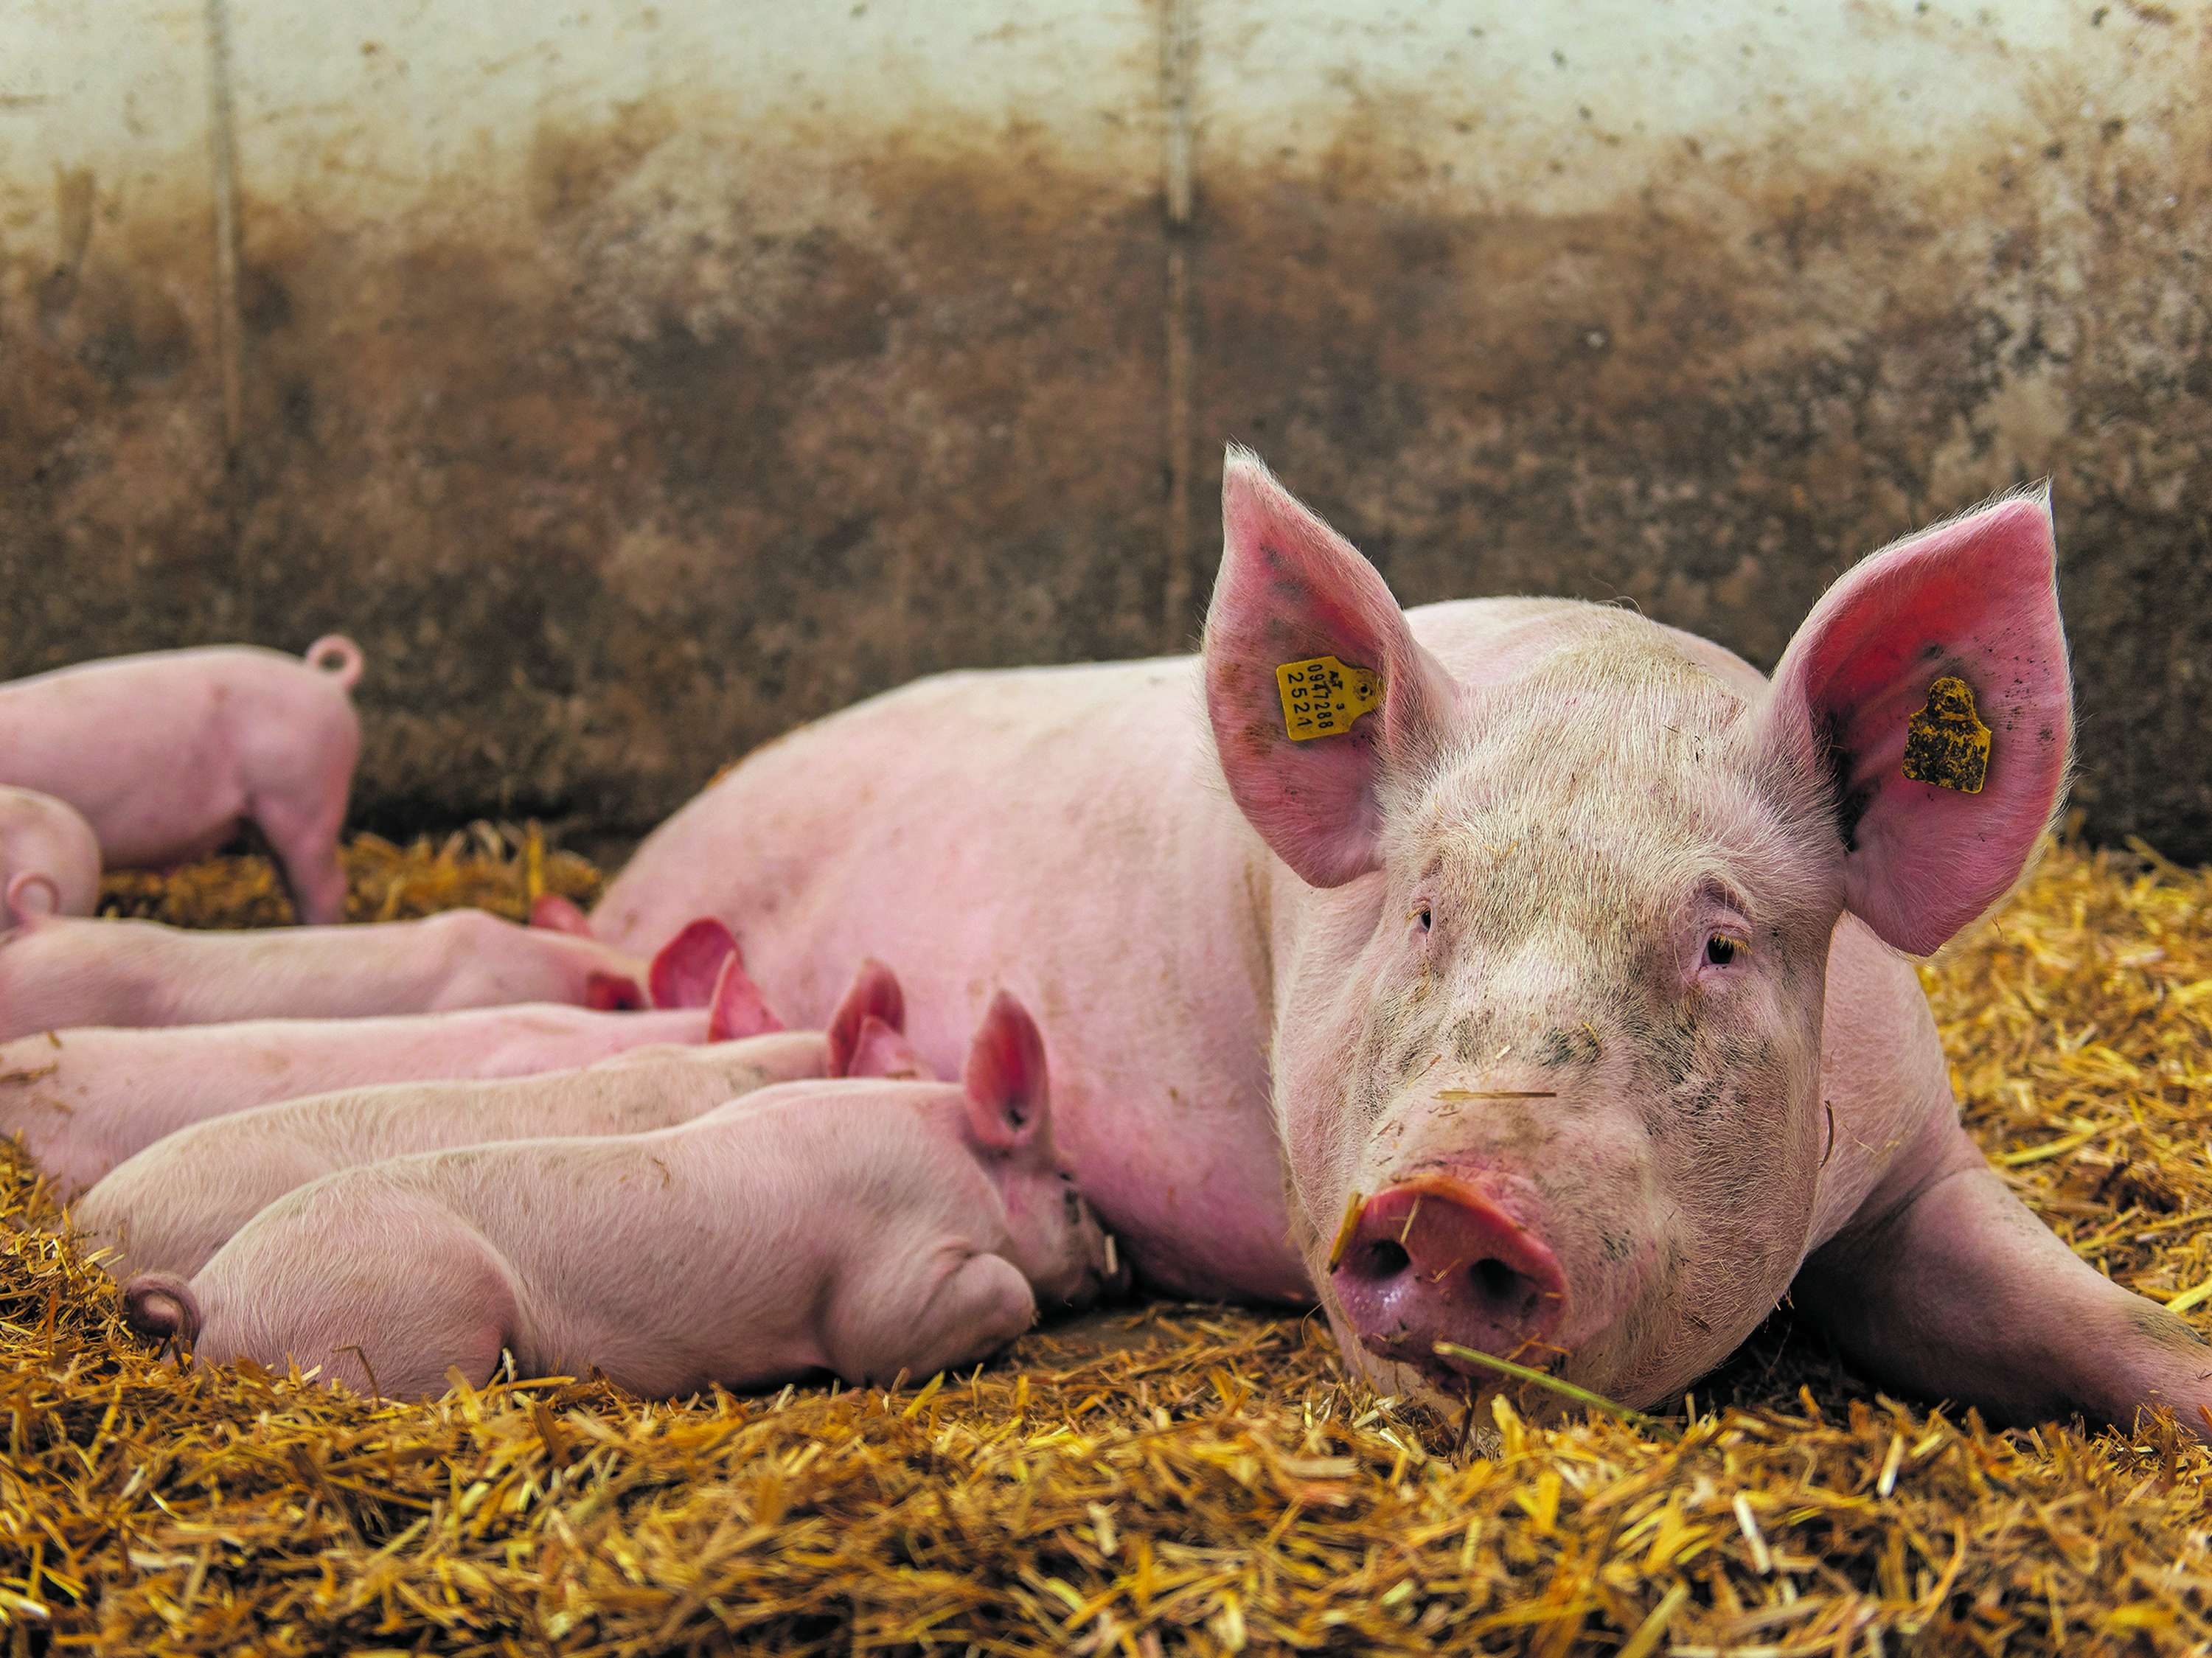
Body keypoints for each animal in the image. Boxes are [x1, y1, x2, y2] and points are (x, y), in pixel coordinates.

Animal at [123, 990, 1122, 1400]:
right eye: (1071, 1188)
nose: (1119, 1263)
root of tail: (215, 1299)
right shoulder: (889, 1280)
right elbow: (936, 1314)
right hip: (418, 1321)